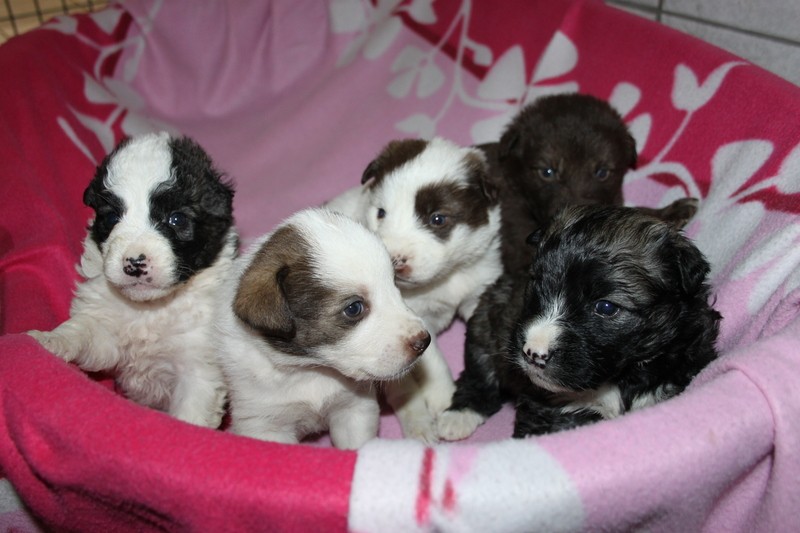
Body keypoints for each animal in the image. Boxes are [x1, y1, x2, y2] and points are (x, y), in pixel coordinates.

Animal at [28, 132, 237, 428]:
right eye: (112, 217)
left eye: (176, 219)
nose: (134, 262)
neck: (149, 310)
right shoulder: (104, 332)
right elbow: (81, 329)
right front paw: (50, 340)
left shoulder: (198, 367)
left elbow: (191, 414)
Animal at [216, 208, 431, 449]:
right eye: (354, 308)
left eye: (394, 284)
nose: (424, 341)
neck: (310, 369)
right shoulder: (265, 425)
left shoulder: (354, 408)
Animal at [325, 137, 502, 443]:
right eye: (381, 213)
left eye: (438, 219)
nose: (395, 261)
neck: (447, 276)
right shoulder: (417, 320)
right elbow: (436, 363)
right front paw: (445, 398)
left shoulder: (479, 291)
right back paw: (420, 428)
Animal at [438, 205, 721, 440]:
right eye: (537, 284)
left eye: (606, 307)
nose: (533, 353)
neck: (620, 377)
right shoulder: (549, 408)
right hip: (485, 329)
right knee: (479, 376)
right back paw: (458, 416)